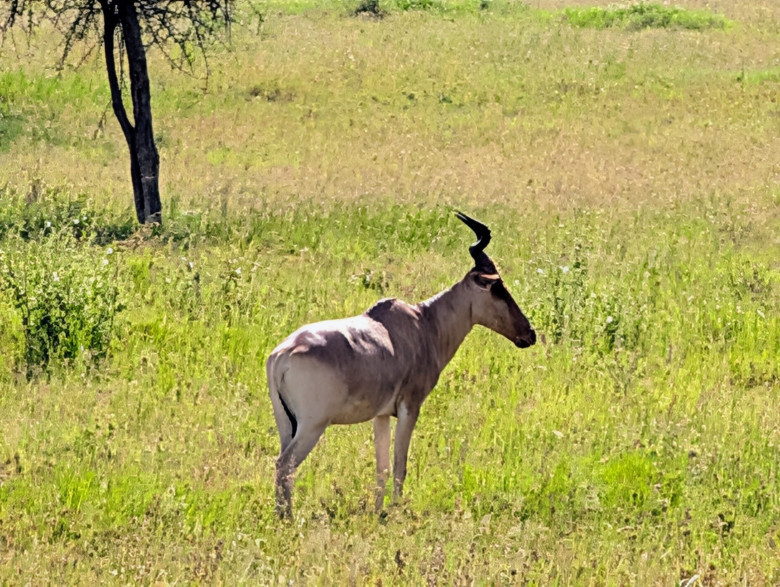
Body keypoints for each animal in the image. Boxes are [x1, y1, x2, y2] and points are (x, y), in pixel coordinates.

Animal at [266, 211, 536, 518]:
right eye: (498, 287)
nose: (530, 334)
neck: (421, 323)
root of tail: (282, 355)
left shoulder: (381, 415)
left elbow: (382, 467)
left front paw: (378, 511)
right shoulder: (410, 406)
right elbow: (399, 464)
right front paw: (394, 511)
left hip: (286, 422)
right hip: (313, 425)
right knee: (284, 465)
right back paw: (288, 518)